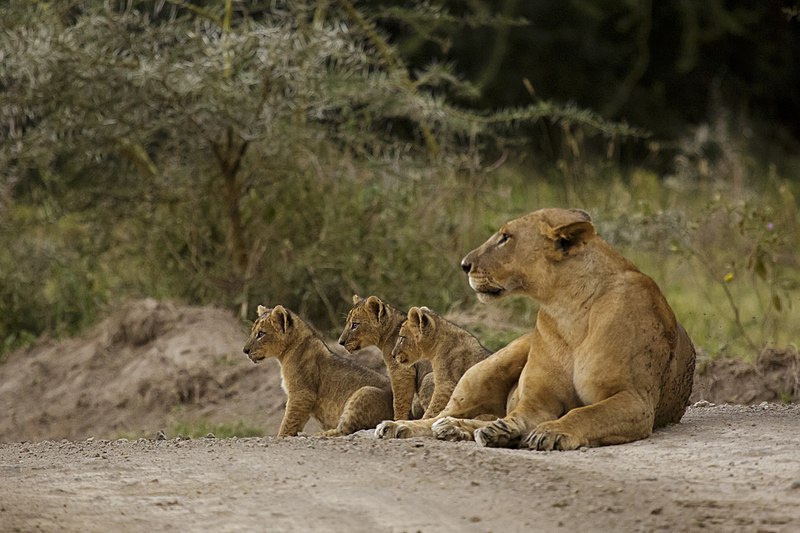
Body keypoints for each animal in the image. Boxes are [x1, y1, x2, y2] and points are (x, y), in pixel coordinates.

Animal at [376, 208, 692, 448]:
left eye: (505, 238)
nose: (464, 264)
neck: (568, 308)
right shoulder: (538, 400)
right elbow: (522, 413)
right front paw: (507, 430)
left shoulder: (635, 399)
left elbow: (586, 414)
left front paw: (550, 431)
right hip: (487, 368)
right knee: (440, 415)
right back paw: (402, 426)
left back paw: (460, 429)